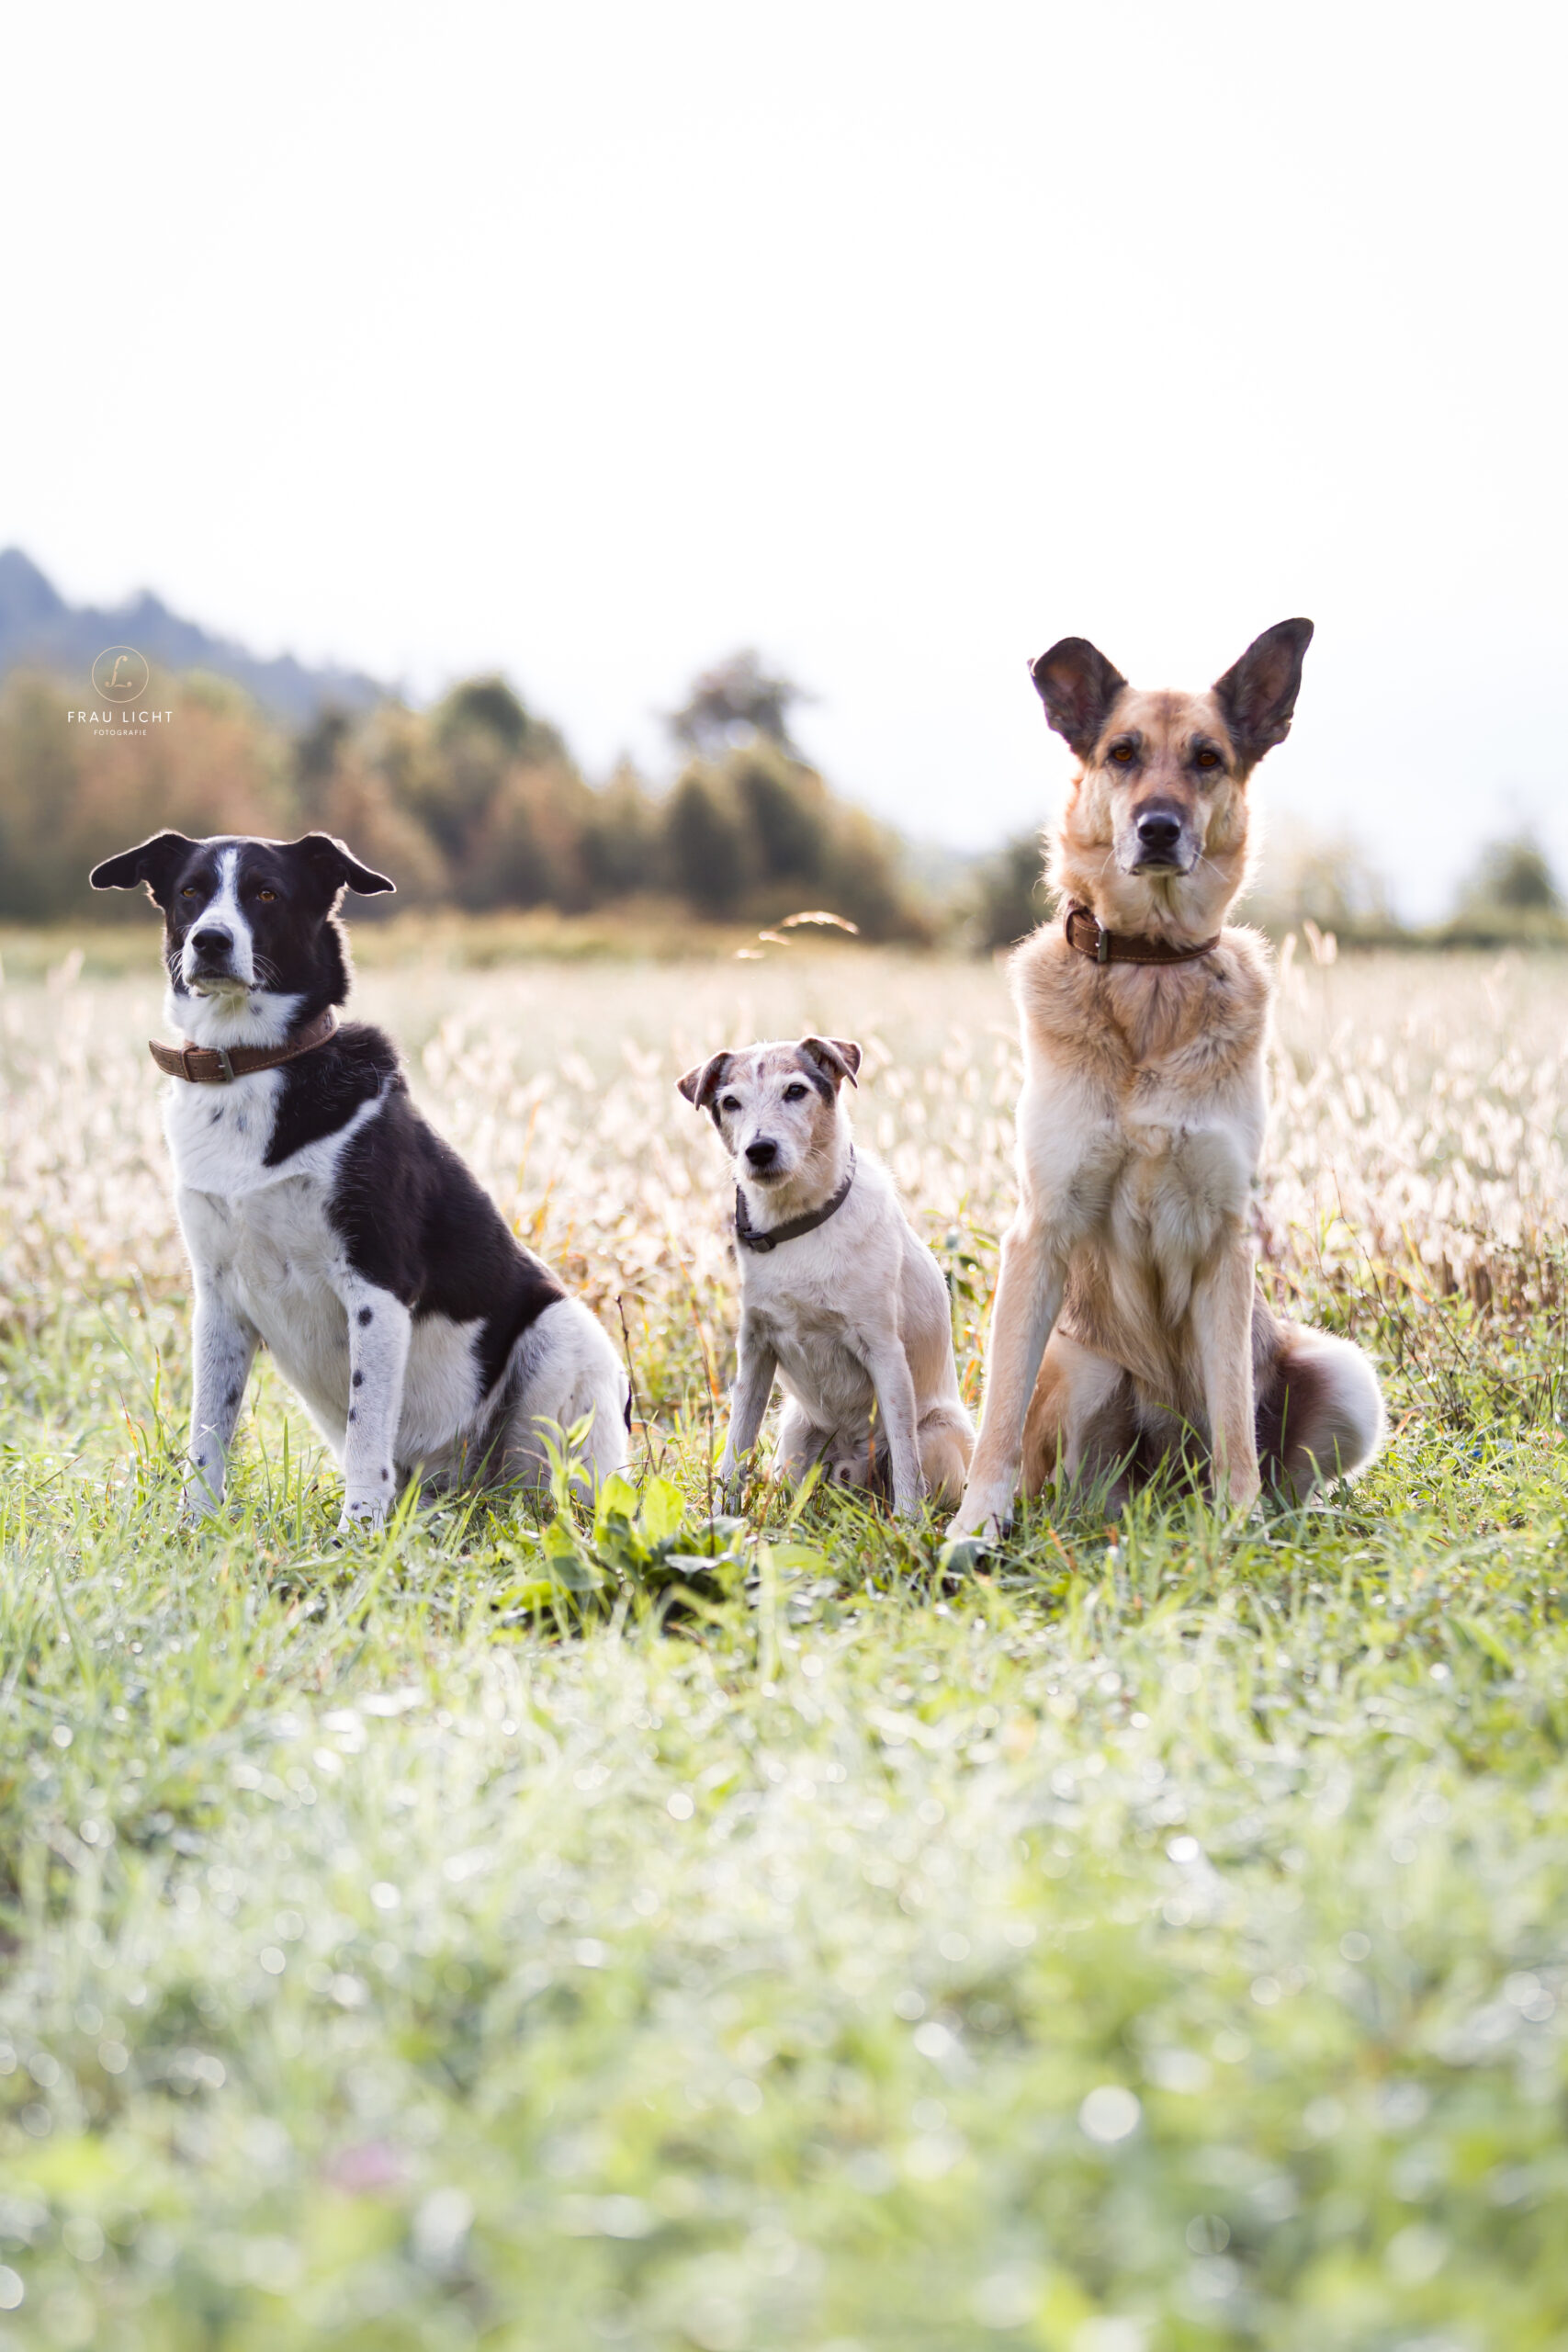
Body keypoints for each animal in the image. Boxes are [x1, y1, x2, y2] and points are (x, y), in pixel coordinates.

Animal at [92, 828, 629, 1523]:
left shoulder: (377, 1283)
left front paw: (359, 1531)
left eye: (266, 893)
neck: (252, 1067)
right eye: (190, 892)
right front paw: (196, 1525)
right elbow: (209, 1430)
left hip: (561, 1344)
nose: (209, 940)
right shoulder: (217, 1296)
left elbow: (365, 1426)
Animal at [949, 620, 1382, 1543]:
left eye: (1207, 759)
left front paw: (1241, 1526)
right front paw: (972, 1525)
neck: (1148, 969)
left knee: (1270, 1457)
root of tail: (1164, 1491)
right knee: (1076, 1482)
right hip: (1081, 1361)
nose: (1156, 829)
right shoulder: (1039, 1230)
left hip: (1344, 1372)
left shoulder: (1225, 1237)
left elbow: (1233, 1418)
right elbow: (995, 1420)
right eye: (1121, 753)